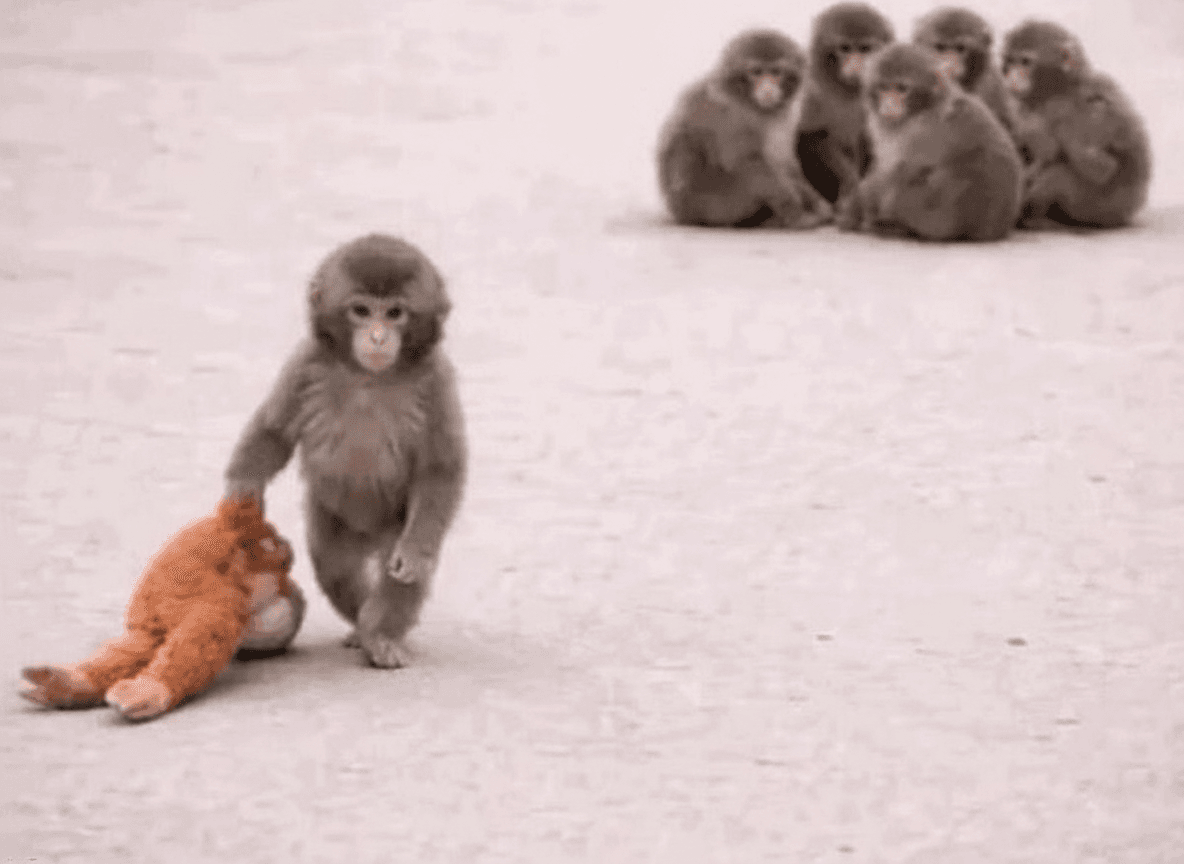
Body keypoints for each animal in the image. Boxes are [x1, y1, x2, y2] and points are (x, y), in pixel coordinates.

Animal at [224, 234, 466, 669]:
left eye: (395, 313)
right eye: (361, 310)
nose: (378, 336)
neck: (370, 376)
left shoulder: (437, 379)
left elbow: (439, 470)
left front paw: (415, 554)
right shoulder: (305, 361)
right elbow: (274, 431)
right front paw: (242, 488)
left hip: (394, 525)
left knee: (397, 573)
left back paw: (380, 634)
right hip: (334, 520)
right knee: (335, 567)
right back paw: (361, 623)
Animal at [657, 28, 832, 228]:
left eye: (776, 71)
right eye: (756, 72)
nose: (767, 89)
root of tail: (682, 215)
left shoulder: (783, 117)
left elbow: (786, 162)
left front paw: (816, 202)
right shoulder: (732, 115)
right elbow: (743, 160)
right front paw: (794, 208)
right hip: (717, 206)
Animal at [792, 2, 895, 206]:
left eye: (865, 48)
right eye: (845, 48)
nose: (855, 65)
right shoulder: (812, 89)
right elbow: (813, 136)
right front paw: (850, 184)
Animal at [838, 43, 1023, 241]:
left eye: (902, 88)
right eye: (883, 87)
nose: (888, 105)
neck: (925, 106)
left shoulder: (919, 132)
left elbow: (897, 170)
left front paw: (855, 207)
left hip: (936, 212)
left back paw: (893, 226)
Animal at [1001, 20, 1151, 229]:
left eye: (1025, 61)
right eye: (1010, 61)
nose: (1012, 76)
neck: (1060, 88)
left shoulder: (1075, 113)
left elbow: (1102, 168)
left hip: (1100, 209)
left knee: (1058, 175)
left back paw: (1036, 218)